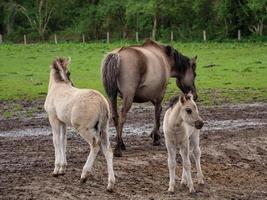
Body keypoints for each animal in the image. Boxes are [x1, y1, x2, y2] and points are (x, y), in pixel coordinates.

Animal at [44, 57, 115, 191]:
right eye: (69, 72)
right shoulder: (63, 122)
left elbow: (56, 141)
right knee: (108, 150)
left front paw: (56, 169)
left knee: (95, 145)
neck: (57, 86)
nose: (72, 84)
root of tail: (101, 101)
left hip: (84, 129)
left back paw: (84, 175)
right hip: (104, 128)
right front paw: (62, 168)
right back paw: (110, 184)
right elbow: (63, 141)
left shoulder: (53, 118)